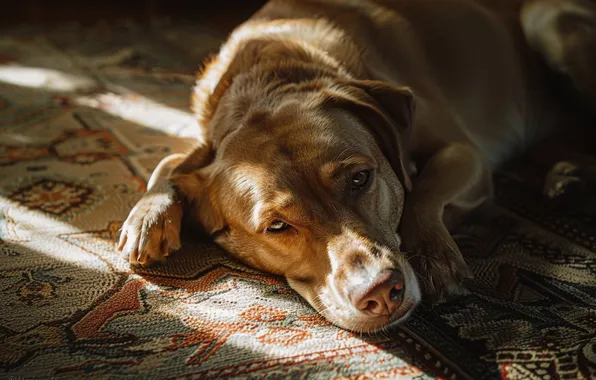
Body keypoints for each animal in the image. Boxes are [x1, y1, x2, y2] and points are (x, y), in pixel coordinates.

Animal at [116, 0, 596, 332]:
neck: (273, 74)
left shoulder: (464, 150)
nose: (382, 294)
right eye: (277, 227)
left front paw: (434, 256)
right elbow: (171, 160)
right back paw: (568, 178)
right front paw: (148, 216)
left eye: (361, 179)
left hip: (545, 22)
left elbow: (422, 192)